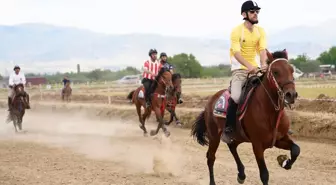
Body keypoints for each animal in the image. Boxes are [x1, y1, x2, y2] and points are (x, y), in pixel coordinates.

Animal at [192, 49, 300, 185]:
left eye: (291, 70)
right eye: (275, 71)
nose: (291, 94)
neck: (271, 112)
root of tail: (210, 101)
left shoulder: (280, 139)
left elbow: (296, 149)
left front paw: (285, 162)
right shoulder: (257, 145)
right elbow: (264, 175)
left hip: (237, 136)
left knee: (232, 147)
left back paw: (241, 174)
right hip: (214, 136)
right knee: (210, 158)